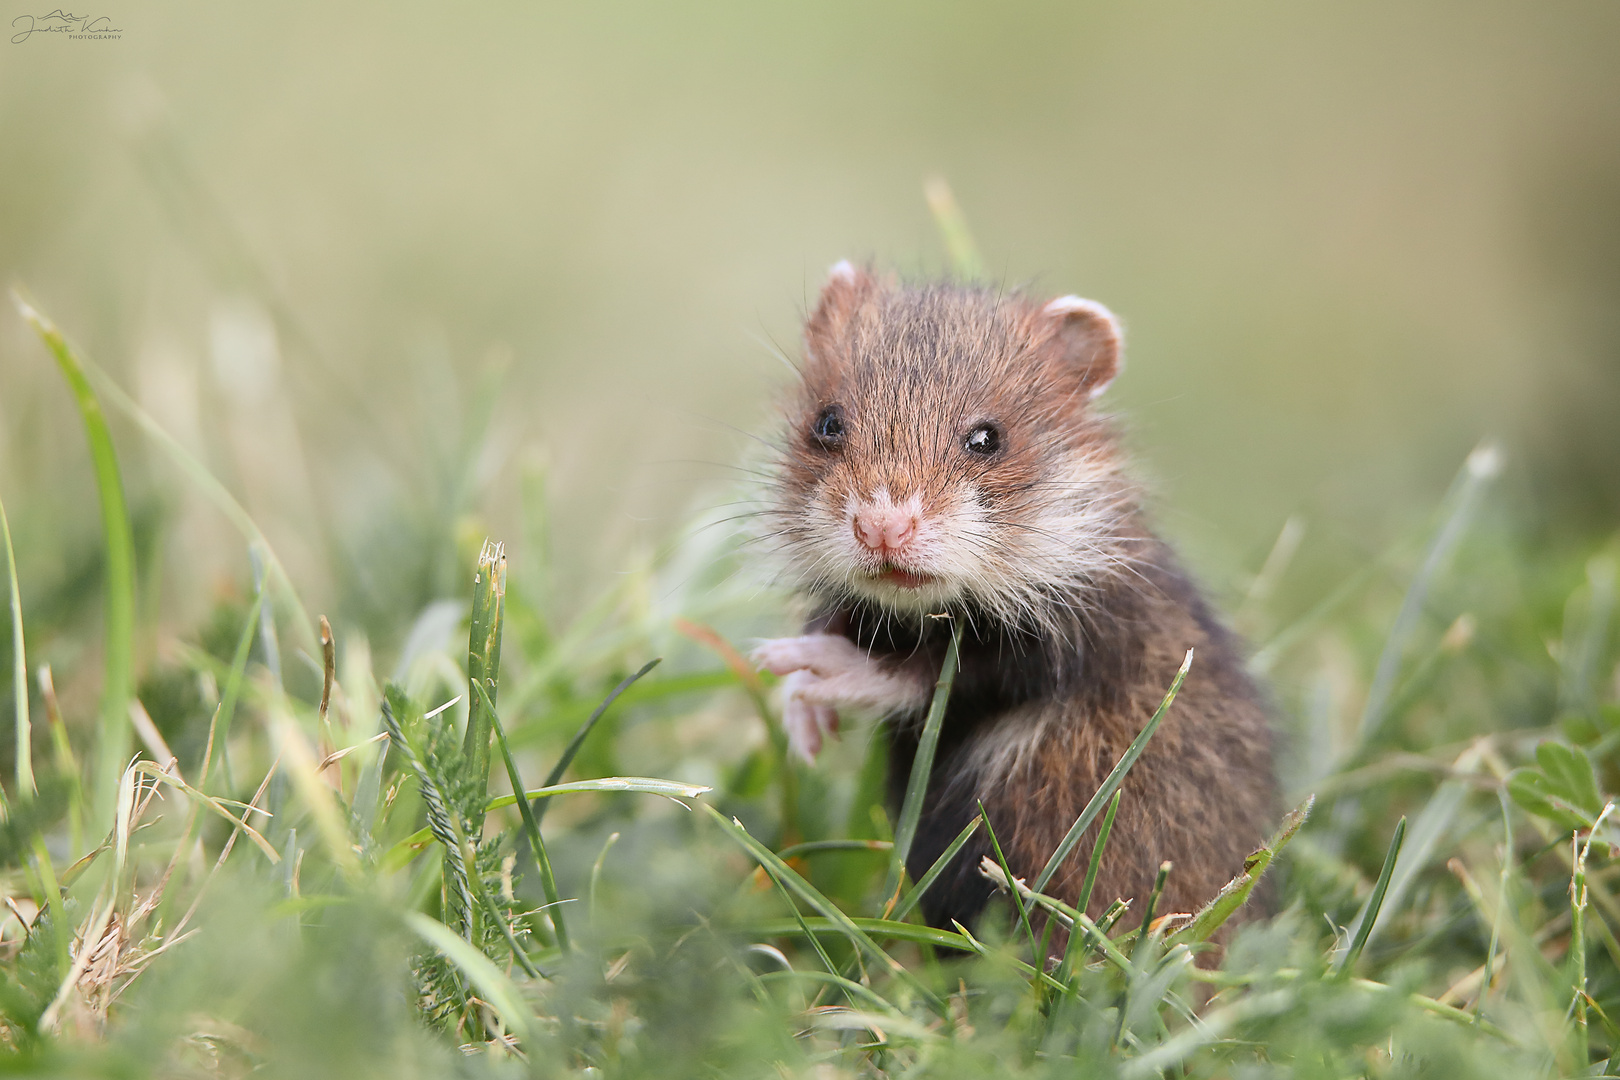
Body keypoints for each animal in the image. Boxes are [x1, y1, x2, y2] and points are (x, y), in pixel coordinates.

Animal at [748, 262, 1276, 939]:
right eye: (827, 422)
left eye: (986, 437)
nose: (883, 527)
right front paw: (800, 714)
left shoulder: (1068, 644)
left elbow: (938, 673)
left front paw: (816, 672)